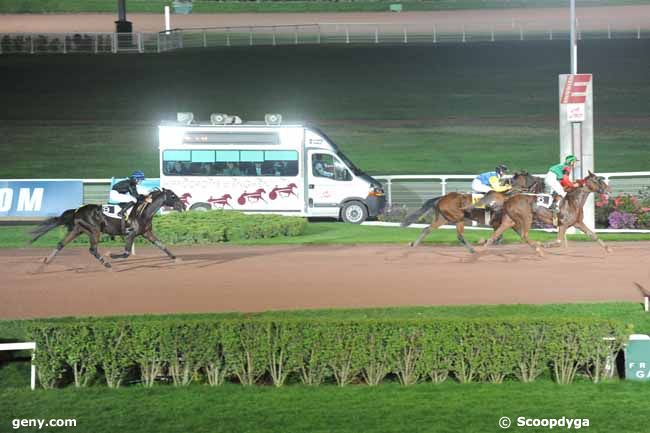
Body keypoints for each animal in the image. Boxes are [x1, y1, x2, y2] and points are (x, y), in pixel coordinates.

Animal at [31, 188, 186, 266]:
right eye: (173, 196)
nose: (183, 206)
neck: (143, 211)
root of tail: (77, 210)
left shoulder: (146, 232)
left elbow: (161, 245)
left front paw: (175, 258)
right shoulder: (131, 234)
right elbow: (126, 253)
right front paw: (111, 254)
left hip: (78, 230)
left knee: (60, 244)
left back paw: (46, 261)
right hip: (94, 230)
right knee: (92, 249)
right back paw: (106, 263)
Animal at [400, 171, 540, 253]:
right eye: (532, 179)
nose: (538, 193)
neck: (507, 197)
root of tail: (441, 198)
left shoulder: (509, 223)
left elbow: (520, 236)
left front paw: (537, 247)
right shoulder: (502, 222)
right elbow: (500, 236)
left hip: (442, 218)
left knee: (426, 229)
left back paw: (414, 245)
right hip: (458, 217)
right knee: (460, 236)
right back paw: (472, 250)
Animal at [478, 170, 612, 255]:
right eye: (597, 180)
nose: (609, 190)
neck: (573, 201)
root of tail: (508, 199)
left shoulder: (577, 223)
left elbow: (593, 235)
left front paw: (608, 249)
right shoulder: (563, 224)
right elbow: (559, 241)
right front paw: (545, 245)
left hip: (509, 220)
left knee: (494, 236)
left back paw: (479, 252)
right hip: (526, 217)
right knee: (523, 235)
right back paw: (539, 248)